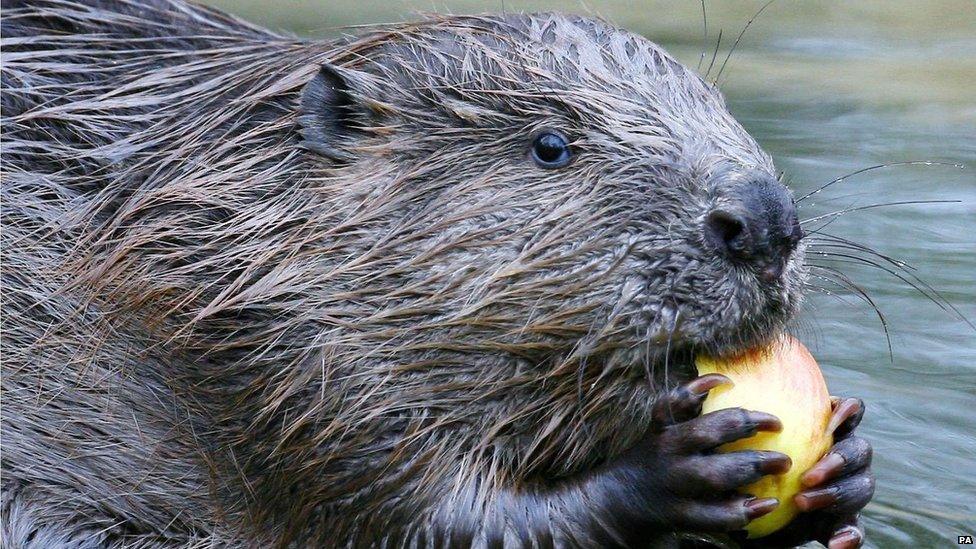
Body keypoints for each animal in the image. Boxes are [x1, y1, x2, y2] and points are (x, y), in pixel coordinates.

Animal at [0, 1, 872, 548]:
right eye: (550, 145)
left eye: (717, 107)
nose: (762, 220)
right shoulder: (289, 368)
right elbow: (445, 521)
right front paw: (678, 466)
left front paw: (846, 467)